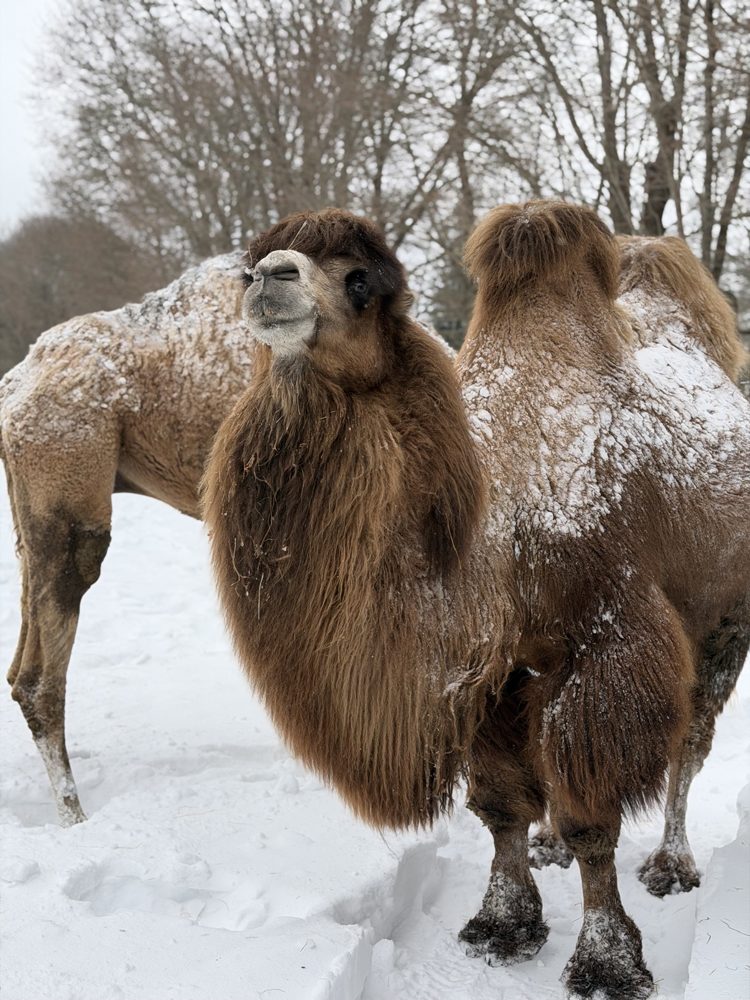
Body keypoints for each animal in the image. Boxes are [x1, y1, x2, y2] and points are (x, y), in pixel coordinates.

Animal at [203, 205, 750, 999]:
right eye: (249, 263)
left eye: (360, 280)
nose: (269, 278)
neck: (501, 527)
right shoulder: (496, 667)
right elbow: (501, 803)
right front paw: (503, 924)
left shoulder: (609, 639)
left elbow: (594, 817)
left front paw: (608, 964)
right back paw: (554, 847)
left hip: (724, 618)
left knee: (690, 744)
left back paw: (671, 866)